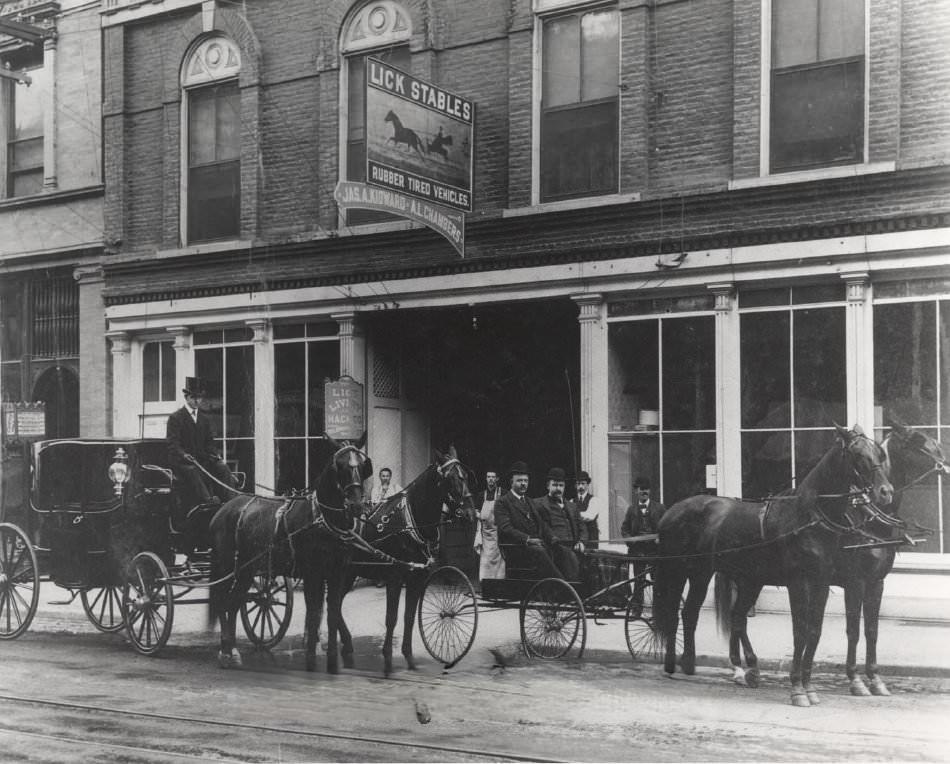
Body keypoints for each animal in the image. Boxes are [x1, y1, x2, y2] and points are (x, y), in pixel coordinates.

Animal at [210, 438, 374, 672]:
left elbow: (332, 612)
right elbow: (314, 612)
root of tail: (223, 510)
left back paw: (232, 651)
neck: (322, 518)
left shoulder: (338, 572)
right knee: (223, 601)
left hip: (247, 569)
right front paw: (311, 658)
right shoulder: (313, 573)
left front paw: (332, 660)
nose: (356, 505)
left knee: (234, 603)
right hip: (227, 566)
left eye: (362, 465)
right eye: (339, 466)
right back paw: (225, 650)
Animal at [324, 448, 476, 676]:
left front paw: (409, 657)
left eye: (465, 476)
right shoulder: (394, 577)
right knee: (333, 603)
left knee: (335, 603)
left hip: (349, 573)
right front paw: (387, 658)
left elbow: (409, 617)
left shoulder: (417, 578)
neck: (410, 524)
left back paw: (347, 644)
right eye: (450, 478)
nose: (470, 514)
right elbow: (392, 617)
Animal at [660, 424, 896, 704]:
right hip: (687, 571)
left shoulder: (823, 583)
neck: (808, 517)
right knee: (679, 611)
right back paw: (675, 664)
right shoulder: (804, 583)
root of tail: (671, 511)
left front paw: (810, 687)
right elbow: (802, 632)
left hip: (744, 579)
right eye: (858, 454)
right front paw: (798, 689)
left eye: (880, 454)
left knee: (729, 616)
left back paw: (735, 668)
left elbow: (815, 631)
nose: (885, 492)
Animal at [716, 420, 948, 696]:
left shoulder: (876, 582)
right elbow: (853, 630)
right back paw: (743, 669)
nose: (885, 492)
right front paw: (855, 680)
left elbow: (871, 630)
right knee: (738, 617)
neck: (868, 521)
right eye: (921, 443)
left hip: (752, 579)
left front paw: (875, 679)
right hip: (749, 579)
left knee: (737, 616)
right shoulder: (855, 582)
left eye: (880, 456)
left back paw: (743, 669)